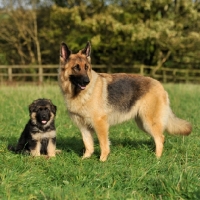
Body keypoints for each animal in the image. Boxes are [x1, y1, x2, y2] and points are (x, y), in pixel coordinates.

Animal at [59, 41, 192, 162]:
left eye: (86, 68)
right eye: (76, 67)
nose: (87, 82)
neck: (79, 94)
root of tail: (159, 85)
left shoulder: (100, 124)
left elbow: (103, 143)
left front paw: (102, 160)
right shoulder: (83, 126)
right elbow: (88, 144)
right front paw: (85, 158)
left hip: (148, 122)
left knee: (160, 137)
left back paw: (157, 158)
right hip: (142, 123)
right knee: (160, 137)